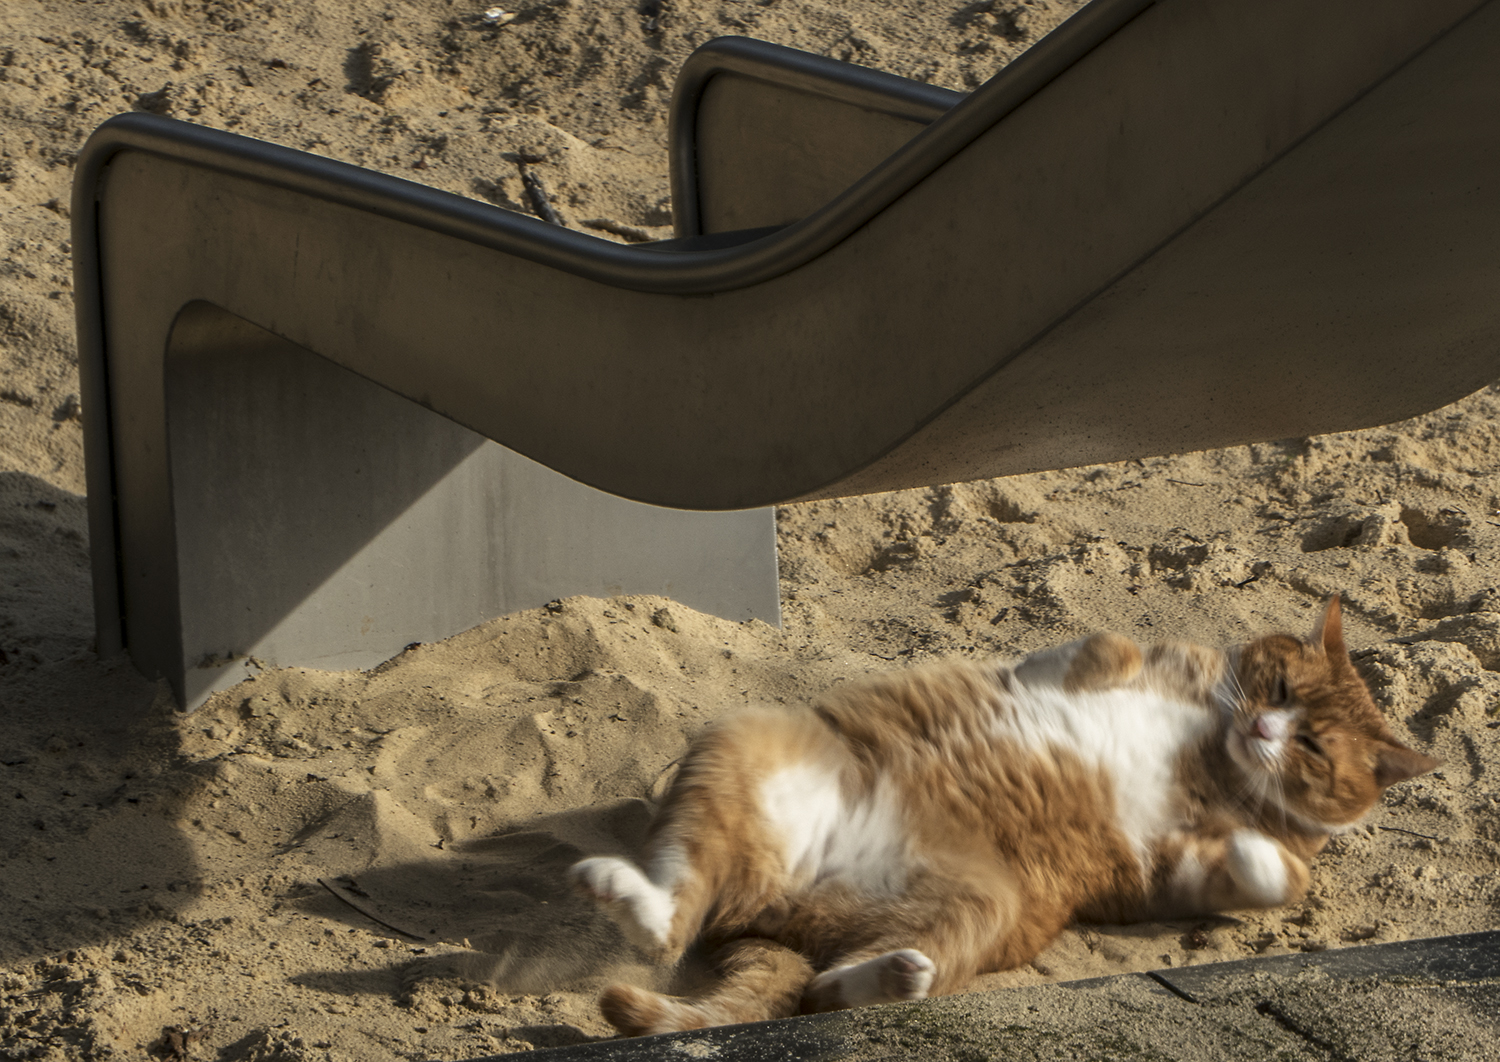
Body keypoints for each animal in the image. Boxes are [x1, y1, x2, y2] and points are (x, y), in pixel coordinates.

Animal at [567, 597, 1434, 1038]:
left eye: (1314, 746)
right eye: (1281, 687)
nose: (1265, 729)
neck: (1213, 750)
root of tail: (781, 915)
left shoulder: (1164, 873)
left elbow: (1273, 872)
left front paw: (1265, 852)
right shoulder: (1133, 660)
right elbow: (1099, 648)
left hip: (988, 901)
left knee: (824, 990)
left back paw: (893, 972)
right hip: (742, 741)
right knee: (684, 910)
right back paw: (635, 901)